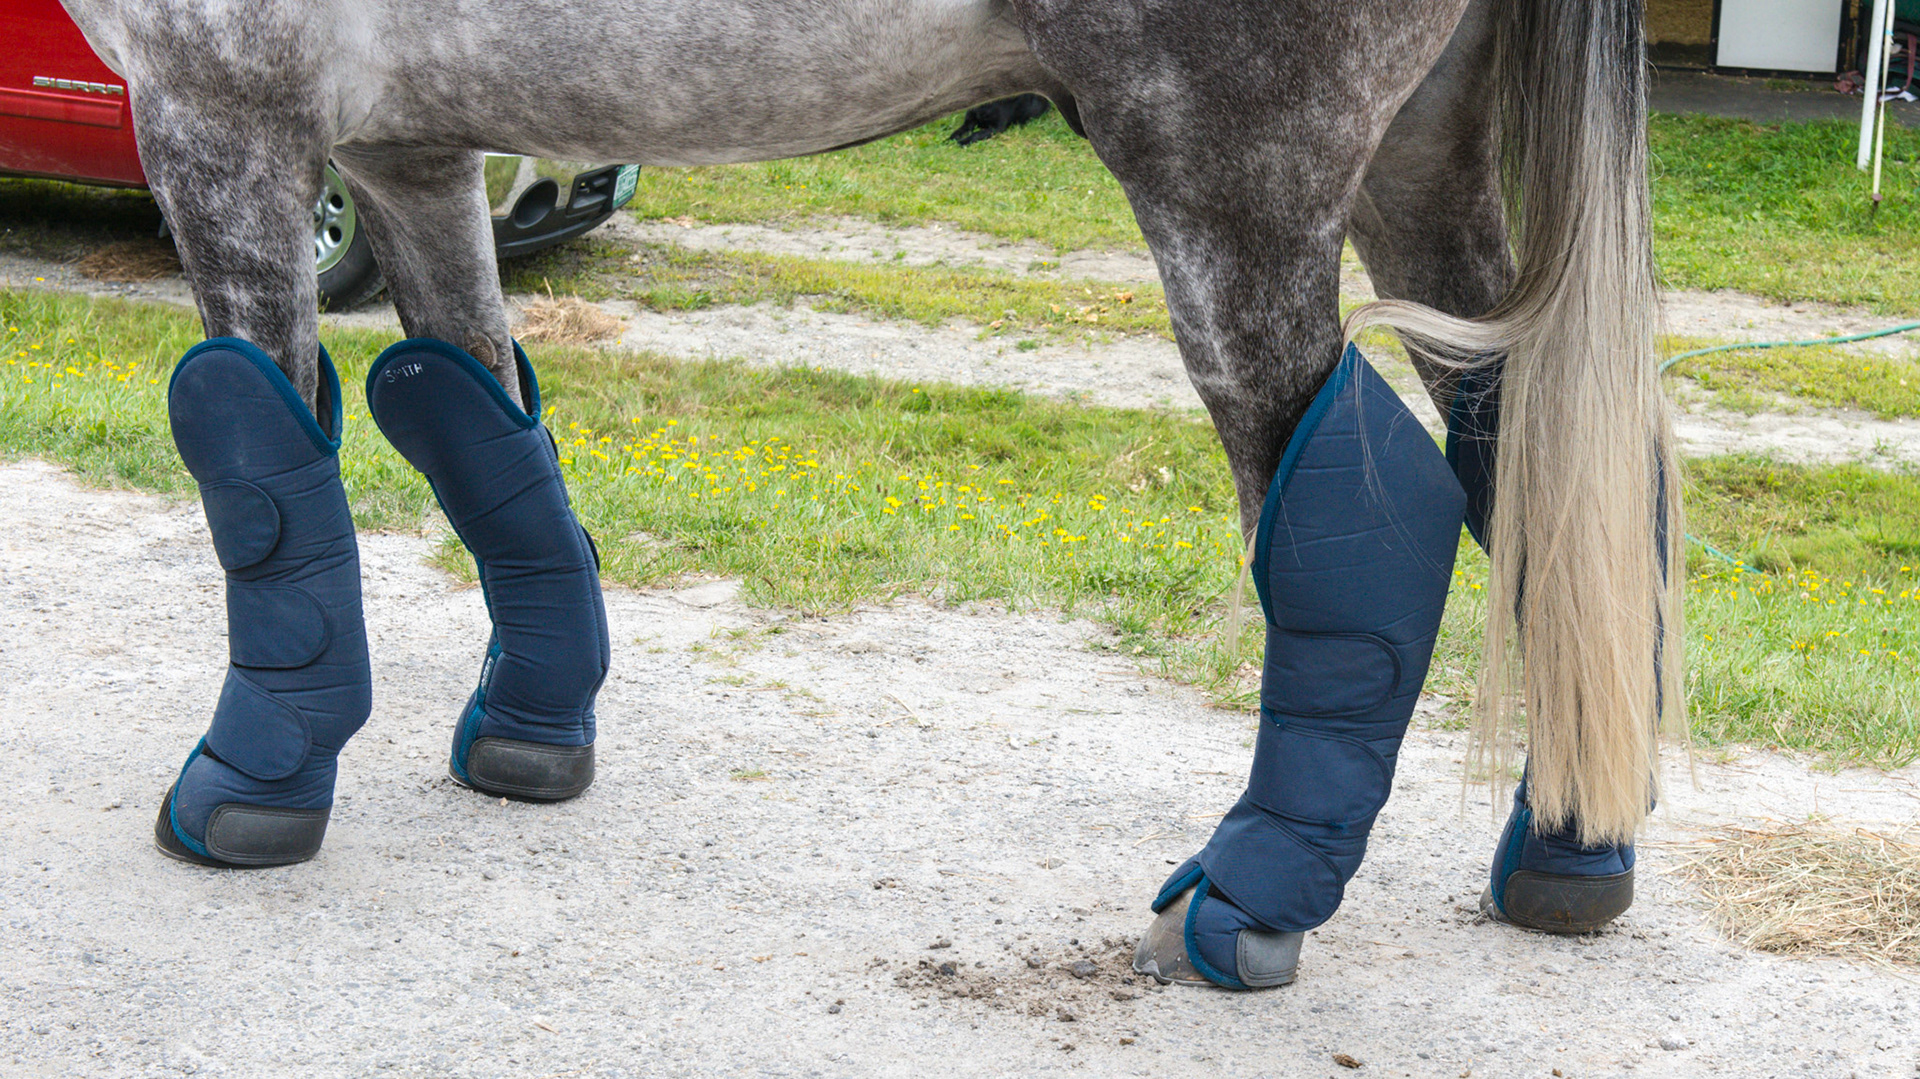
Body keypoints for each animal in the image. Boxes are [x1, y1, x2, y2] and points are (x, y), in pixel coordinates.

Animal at [57, 0, 1680, 988]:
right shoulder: (410, 147)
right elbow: (475, 421)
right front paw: (532, 731)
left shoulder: (223, 115)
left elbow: (254, 449)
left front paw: (252, 785)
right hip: (1420, 160)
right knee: (1545, 486)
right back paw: (1571, 847)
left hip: (1241, 187)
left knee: (1367, 518)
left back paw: (1254, 894)